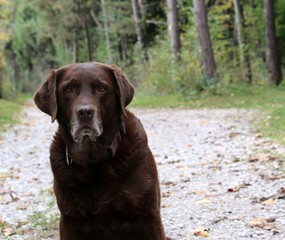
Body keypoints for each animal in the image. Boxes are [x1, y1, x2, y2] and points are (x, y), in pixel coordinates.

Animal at [33, 62, 168, 240]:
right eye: (68, 89)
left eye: (101, 88)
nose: (84, 112)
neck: (92, 160)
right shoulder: (70, 219)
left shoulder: (149, 215)